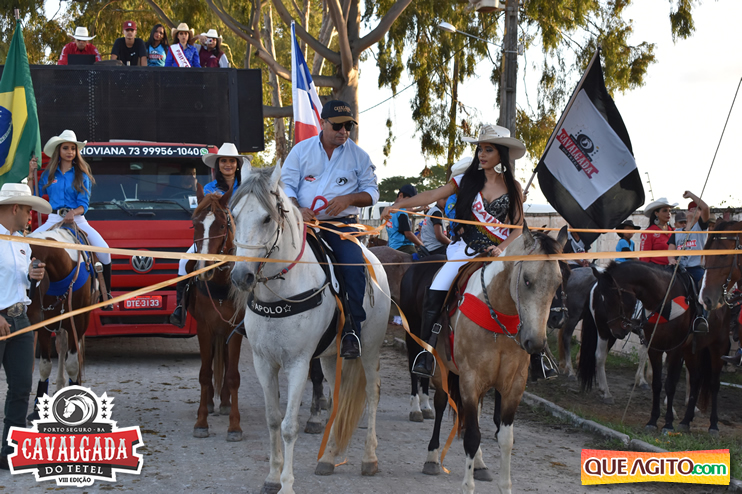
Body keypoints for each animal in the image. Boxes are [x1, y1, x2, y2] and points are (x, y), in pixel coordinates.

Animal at [229, 164, 391, 494]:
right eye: (235, 216)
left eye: (267, 218)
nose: (242, 276)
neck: (282, 292)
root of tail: (376, 263)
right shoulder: (264, 363)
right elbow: (273, 419)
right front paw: (271, 477)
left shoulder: (299, 363)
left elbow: (289, 426)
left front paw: (286, 484)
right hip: (331, 356)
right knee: (338, 401)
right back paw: (328, 459)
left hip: (369, 349)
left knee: (373, 393)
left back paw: (369, 458)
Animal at [417, 224, 567, 494]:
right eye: (527, 280)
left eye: (558, 284)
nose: (535, 343)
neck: (498, 316)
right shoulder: (469, 380)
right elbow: (472, 436)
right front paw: (468, 486)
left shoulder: (513, 385)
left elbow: (505, 438)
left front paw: (504, 485)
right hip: (442, 370)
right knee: (442, 403)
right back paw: (432, 457)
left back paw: (479, 464)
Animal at [579, 261, 726, 431]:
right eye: (603, 298)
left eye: (615, 296)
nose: (617, 329)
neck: (664, 300)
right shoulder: (665, 347)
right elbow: (663, 381)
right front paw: (665, 416)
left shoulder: (676, 348)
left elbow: (673, 380)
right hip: (604, 330)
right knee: (600, 357)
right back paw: (606, 392)